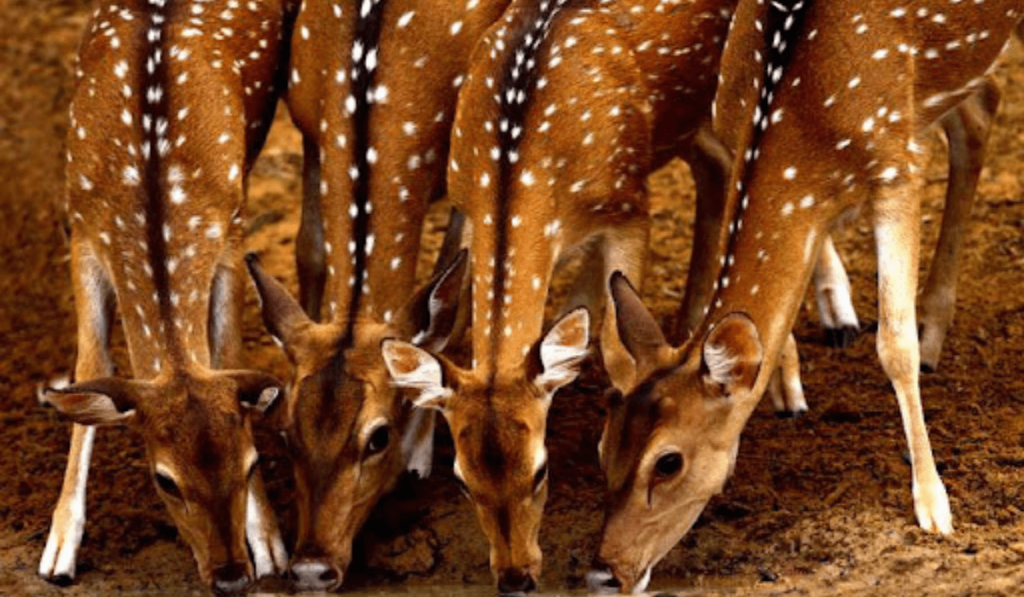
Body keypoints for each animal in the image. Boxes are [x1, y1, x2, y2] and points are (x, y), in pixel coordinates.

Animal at [37, 0, 299, 593]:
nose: (231, 576)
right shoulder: (82, 229)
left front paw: (271, 543)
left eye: (252, 463)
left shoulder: (230, 227)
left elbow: (226, 353)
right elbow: (92, 363)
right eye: (165, 481)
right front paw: (59, 548)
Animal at [245, 0, 505, 589]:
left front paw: (420, 453)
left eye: (378, 437)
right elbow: (309, 250)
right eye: (286, 433)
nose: (311, 568)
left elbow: (452, 302)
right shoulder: (309, 125)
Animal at [376, 0, 745, 593]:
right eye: (462, 479)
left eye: (541, 470)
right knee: (716, 164)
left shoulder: (628, 203)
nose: (516, 577)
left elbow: (615, 339)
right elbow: (454, 321)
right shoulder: (466, 203)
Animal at [589, 0, 1019, 589]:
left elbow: (894, 346)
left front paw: (934, 506)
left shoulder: (897, 167)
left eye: (668, 461)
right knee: (982, 104)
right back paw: (935, 329)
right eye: (604, 445)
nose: (605, 569)